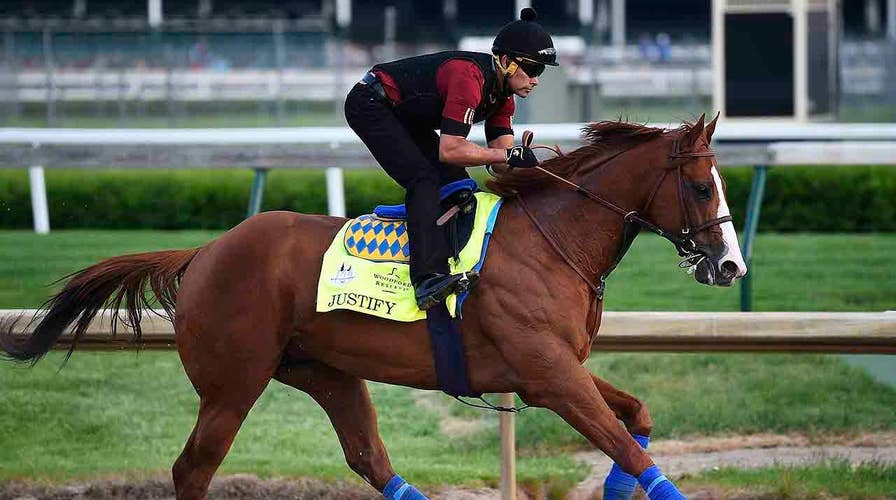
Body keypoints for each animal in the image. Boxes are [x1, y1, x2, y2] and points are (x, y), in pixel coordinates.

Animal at [1, 114, 747, 499]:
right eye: (701, 187)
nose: (730, 265)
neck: (550, 238)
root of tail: (205, 251)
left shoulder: (556, 369)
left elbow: (636, 420)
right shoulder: (548, 376)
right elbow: (626, 445)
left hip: (325, 371)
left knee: (370, 460)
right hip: (232, 383)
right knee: (194, 468)